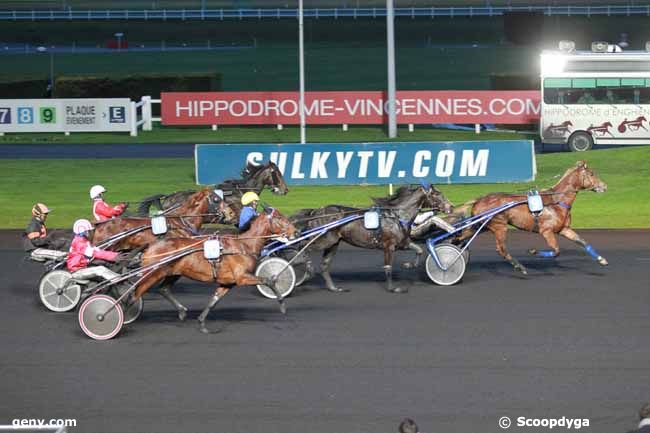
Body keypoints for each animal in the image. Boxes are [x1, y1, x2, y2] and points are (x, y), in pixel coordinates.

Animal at [132, 208, 298, 332]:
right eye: (280, 218)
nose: (296, 232)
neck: (244, 245)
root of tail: (150, 245)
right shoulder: (242, 277)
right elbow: (269, 280)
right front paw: (282, 304)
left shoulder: (228, 283)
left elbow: (214, 301)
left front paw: (201, 322)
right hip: (153, 273)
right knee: (136, 292)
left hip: (173, 273)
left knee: (163, 289)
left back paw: (181, 311)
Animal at [292, 184, 450, 292]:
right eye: (437, 194)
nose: (450, 207)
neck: (397, 216)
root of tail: (316, 211)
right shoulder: (389, 246)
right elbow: (388, 267)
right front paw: (392, 288)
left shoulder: (403, 243)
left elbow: (419, 250)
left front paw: (408, 265)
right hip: (325, 240)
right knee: (302, 247)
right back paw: (305, 270)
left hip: (334, 243)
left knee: (324, 265)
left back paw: (334, 288)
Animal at [466, 160, 608, 276]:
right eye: (591, 174)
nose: (604, 186)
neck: (556, 201)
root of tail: (479, 200)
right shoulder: (546, 231)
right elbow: (556, 251)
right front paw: (532, 251)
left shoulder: (564, 229)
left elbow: (583, 242)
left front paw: (601, 259)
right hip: (499, 226)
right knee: (501, 249)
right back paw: (520, 267)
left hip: (481, 226)